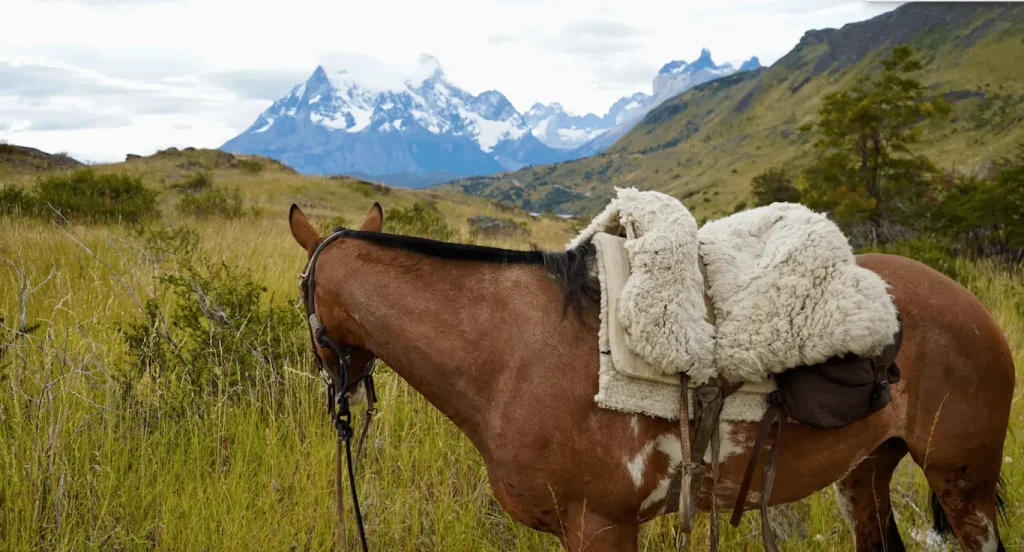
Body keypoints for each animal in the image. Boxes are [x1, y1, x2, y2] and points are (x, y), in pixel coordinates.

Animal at [288, 202, 1014, 552]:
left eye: (302, 297)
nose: (337, 395)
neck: (510, 354)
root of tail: (975, 307)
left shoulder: (600, 526)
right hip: (865, 473)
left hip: (962, 483)